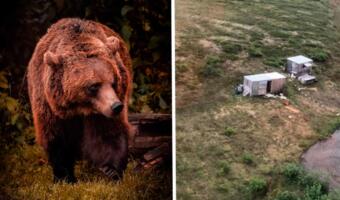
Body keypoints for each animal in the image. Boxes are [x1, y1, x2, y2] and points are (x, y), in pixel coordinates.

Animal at [27, 18, 133, 183]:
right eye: (94, 86)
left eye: (113, 82)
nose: (116, 106)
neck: (80, 107)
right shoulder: (50, 107)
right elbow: (56, 139)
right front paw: (64, 177)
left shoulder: (103, 110)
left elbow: (109, 134)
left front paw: (111, 170)